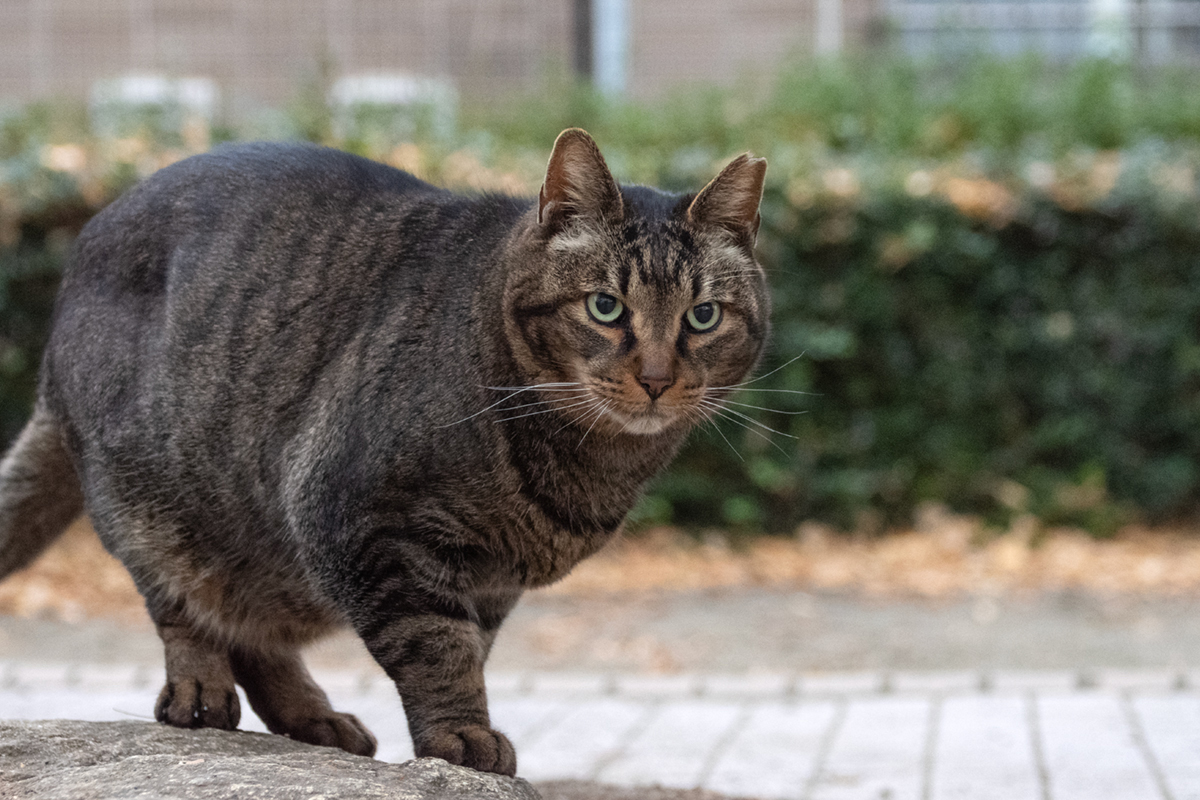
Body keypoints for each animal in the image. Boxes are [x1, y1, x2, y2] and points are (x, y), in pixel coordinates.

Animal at [0, 130, 768, 777]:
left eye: (703, 316)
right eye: (605, 307)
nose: (657, 379)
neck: (589, 467)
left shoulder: (489, 582)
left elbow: (468, 647)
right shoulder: (358, 517)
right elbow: (436, 647)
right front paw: (459, 735)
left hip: (267, 550)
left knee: (253, 631)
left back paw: (313, 718)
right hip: (155, 502)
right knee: (184, 605)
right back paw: (200, 691)